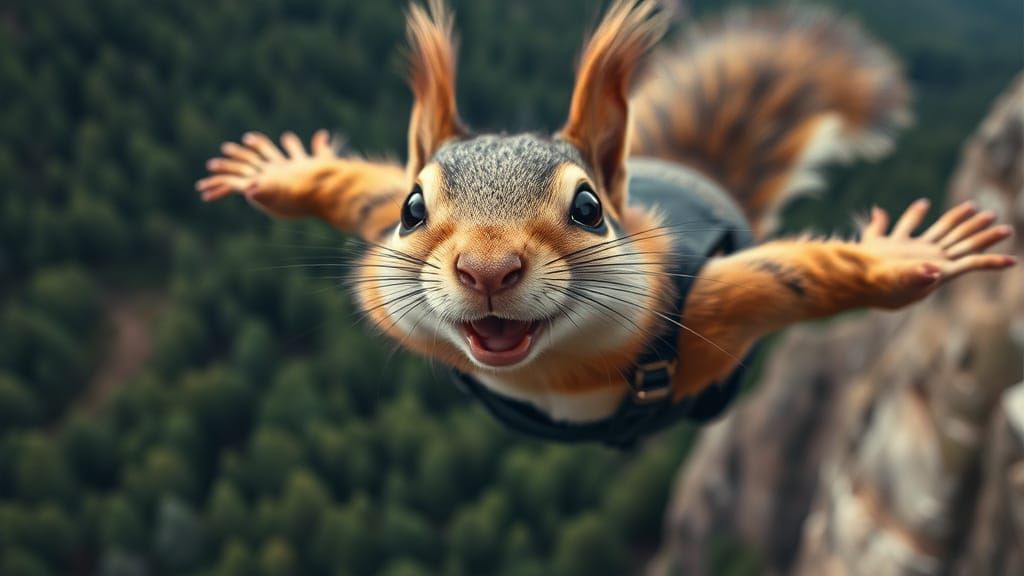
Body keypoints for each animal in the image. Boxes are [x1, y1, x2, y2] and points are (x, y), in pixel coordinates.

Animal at [197, 0, 1016, 447]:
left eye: (589, 208)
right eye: (411, 208)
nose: (487, 270)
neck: (549, 373)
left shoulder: (712, 307)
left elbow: (800, 277)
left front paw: (899, 261)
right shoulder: (370, 221)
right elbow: (351, 186)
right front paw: (288, 175)